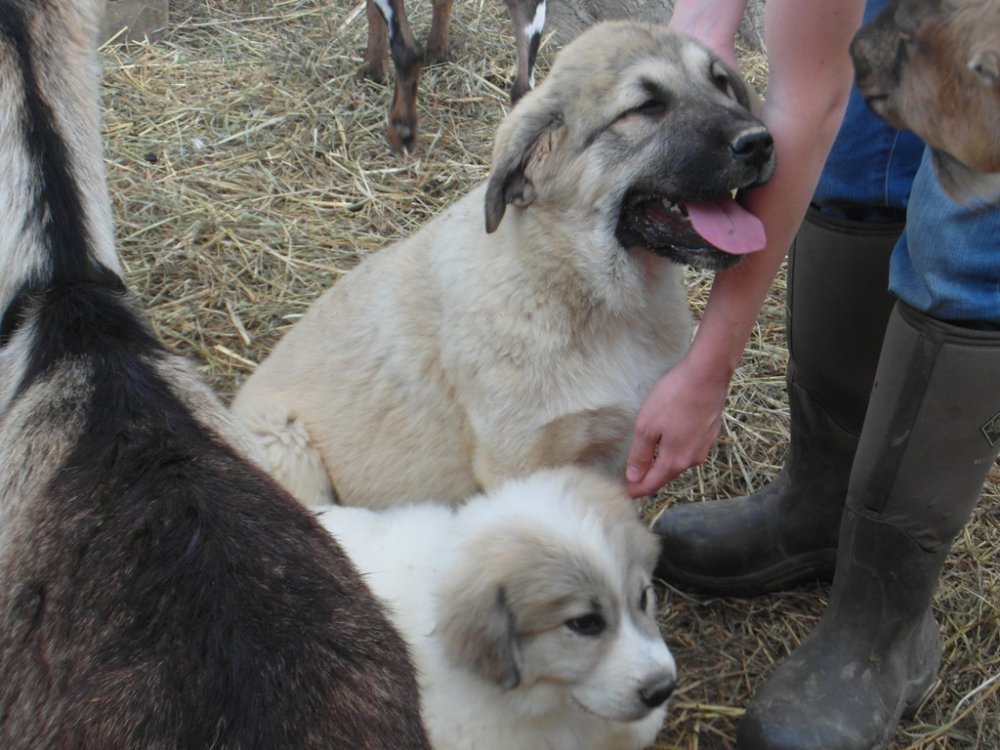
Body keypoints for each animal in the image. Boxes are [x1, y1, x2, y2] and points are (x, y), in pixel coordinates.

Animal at [232, 19, 772, 512]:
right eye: (646, 107)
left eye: (721, 83)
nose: (761, 141)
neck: (584, 290)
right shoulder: (519, 462)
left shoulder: (615, 448)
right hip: (284, 443)